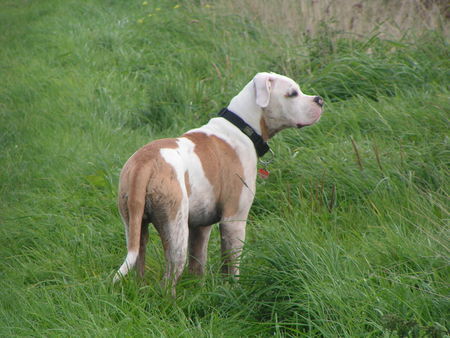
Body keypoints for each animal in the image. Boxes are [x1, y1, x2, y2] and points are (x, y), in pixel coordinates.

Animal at [113, 72, 324, 294]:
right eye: (292, 93)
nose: (319, 100)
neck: (242, 128)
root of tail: (145, 163)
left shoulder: (200, 227)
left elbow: (198, 264)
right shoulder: (233, 220)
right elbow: (231, 265)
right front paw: (234, 290)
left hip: (135, 228)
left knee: (139, 263)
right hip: (176, 231)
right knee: (169, 277)